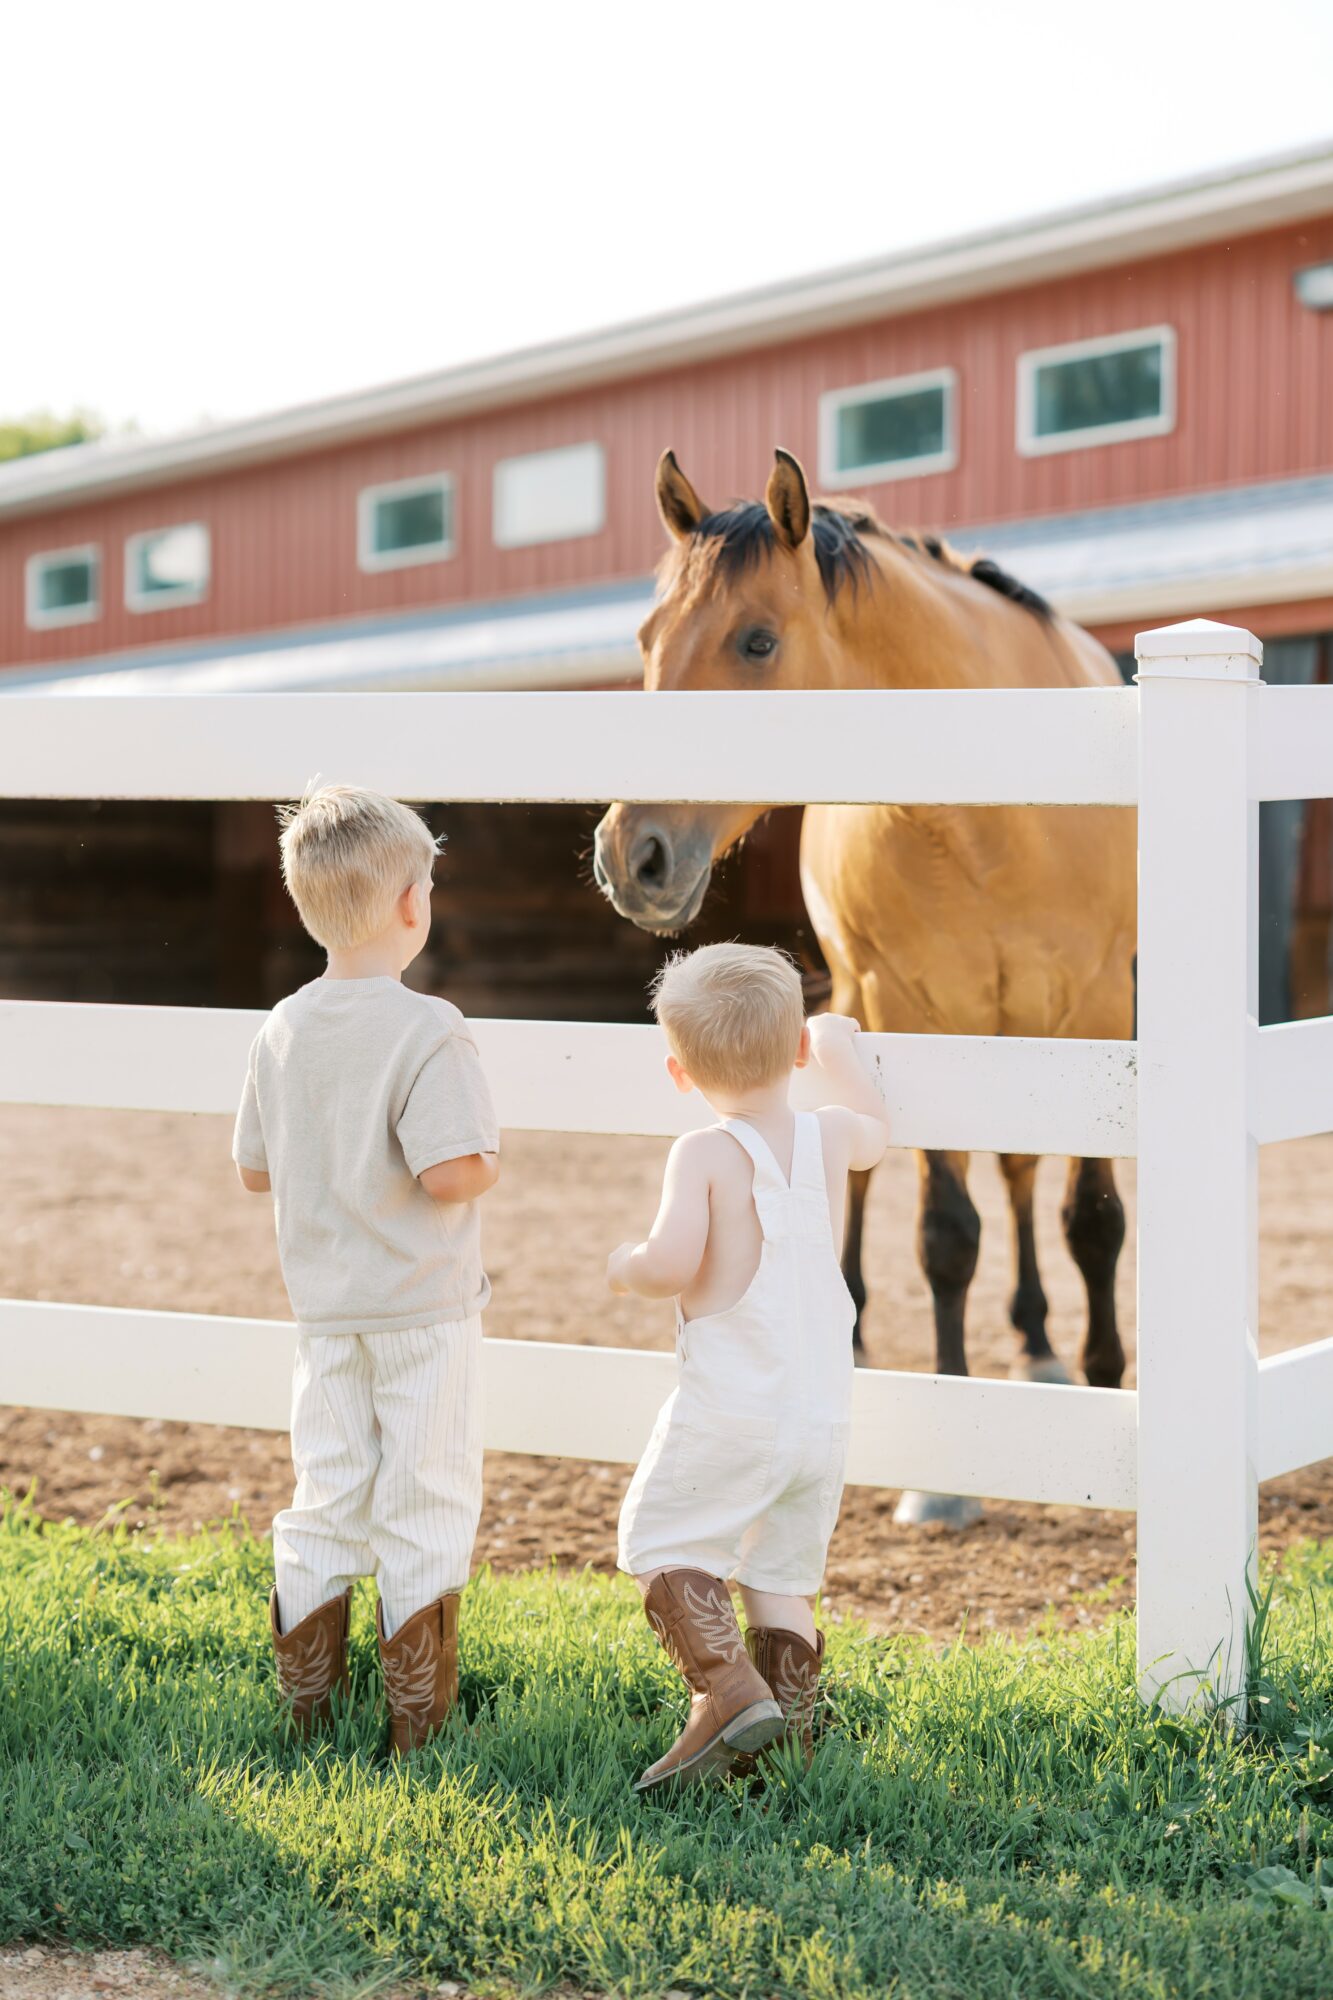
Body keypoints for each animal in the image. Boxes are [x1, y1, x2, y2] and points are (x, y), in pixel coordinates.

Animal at [593, 449, 1136, 1489]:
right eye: (647, 639)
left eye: (758, 641)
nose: (630, 856)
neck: (998, 819)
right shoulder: (912, 1004)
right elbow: (944, 1231)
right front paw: (943, 1476)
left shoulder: (1097, 1006)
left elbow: (1090, 1217)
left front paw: (1102, 1374)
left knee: (1019, 1171)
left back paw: (1039, 1343)